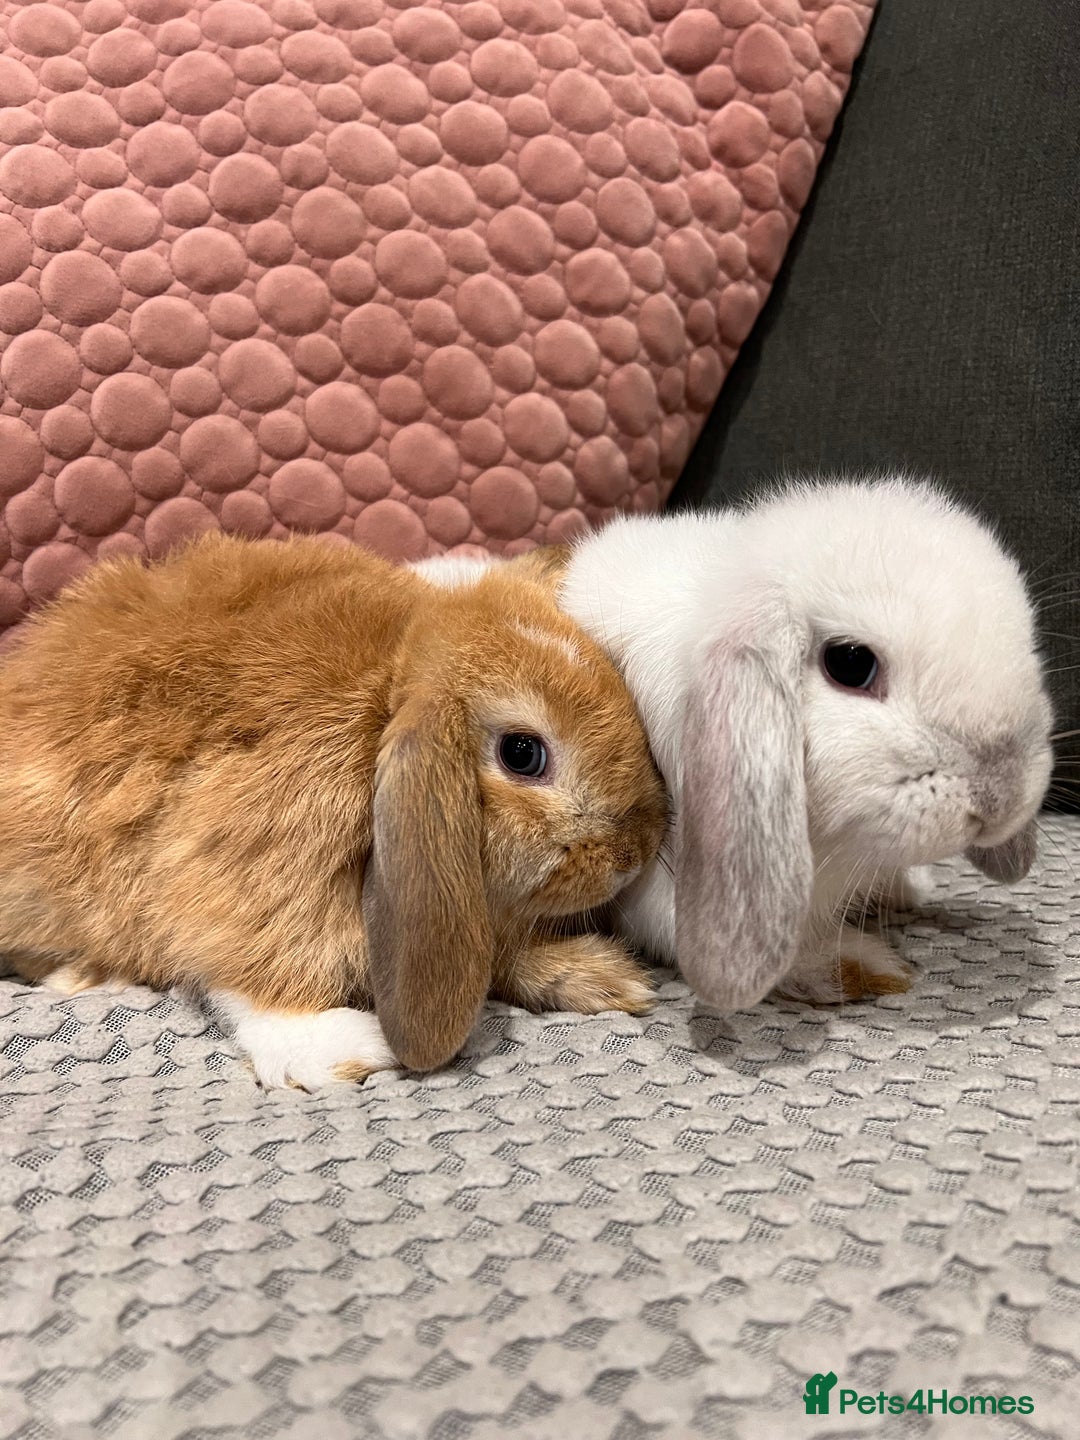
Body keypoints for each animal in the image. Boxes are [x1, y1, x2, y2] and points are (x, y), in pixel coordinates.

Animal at [0, 534, 668, 1088]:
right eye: (523, 754)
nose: (634, 855)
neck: (383, 704)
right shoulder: (243, 877)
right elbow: (250, 975)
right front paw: (347, 1051)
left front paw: (609, 980)